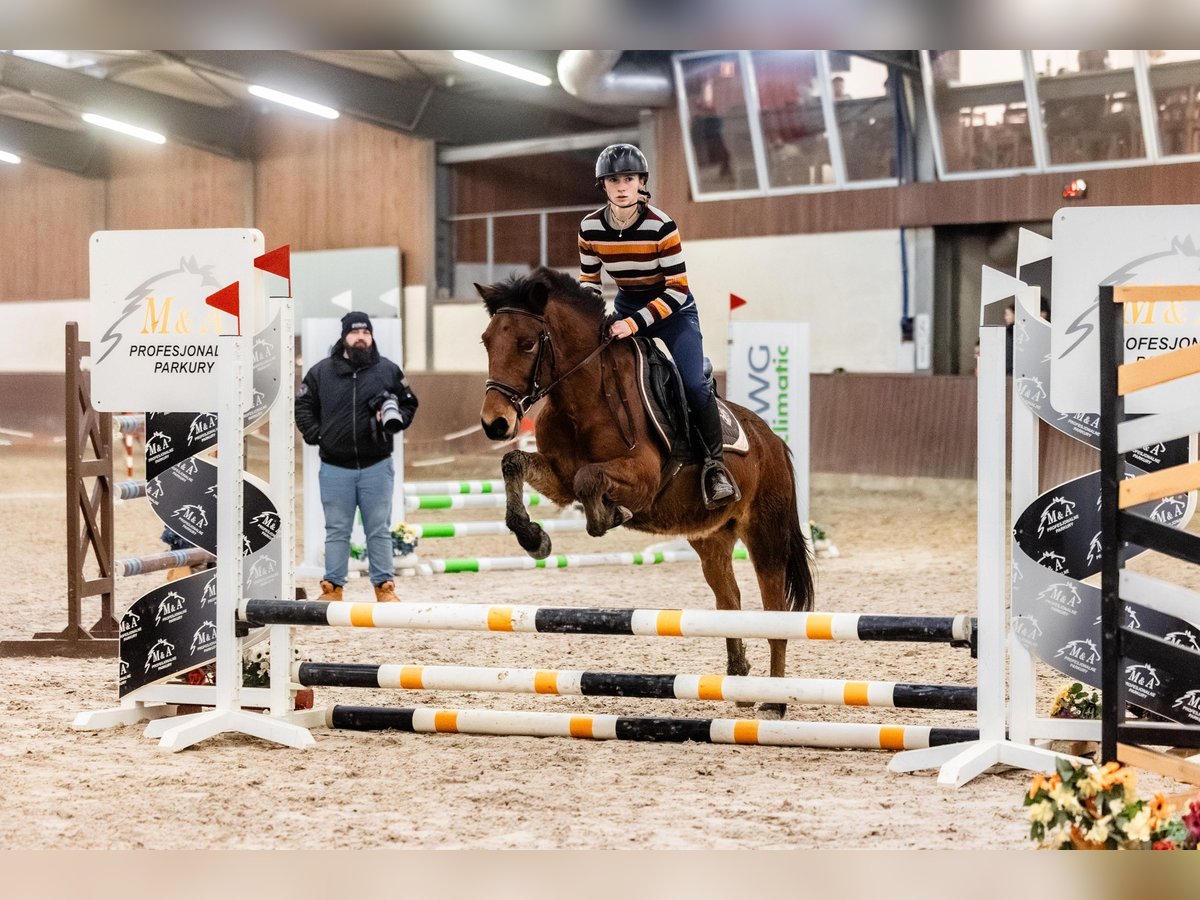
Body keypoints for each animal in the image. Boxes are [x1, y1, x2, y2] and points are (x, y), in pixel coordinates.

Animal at [477, 267, 816, 720]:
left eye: (527, 343)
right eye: (486, 340)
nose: (495, 423)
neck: (583, 397)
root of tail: (774, 441)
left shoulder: (644, 478)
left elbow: (589, 480)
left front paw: (611, 515)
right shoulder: (559, 479)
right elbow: (515, 463)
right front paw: (534, 538)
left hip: (765, 536)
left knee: (775, 612)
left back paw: (774, 703)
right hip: (711, 538)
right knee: (730, 600)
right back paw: (739, 681)